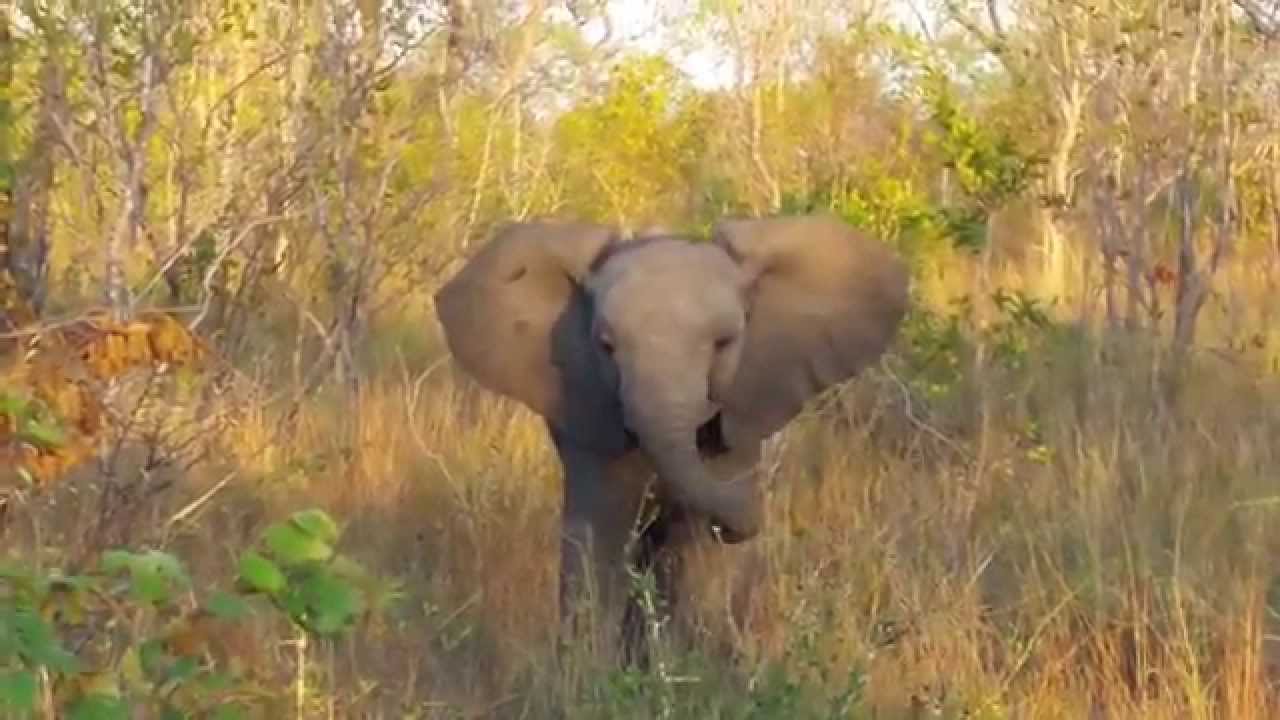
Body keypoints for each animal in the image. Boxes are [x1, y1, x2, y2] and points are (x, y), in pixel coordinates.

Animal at [432, 213, 910, 663]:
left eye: (724, 343)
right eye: (606, 346)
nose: (749, 517)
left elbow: (693, 547)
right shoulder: (588, 412)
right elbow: (600, 533)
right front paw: (588, 678)